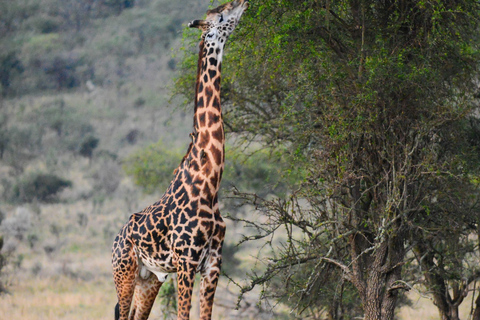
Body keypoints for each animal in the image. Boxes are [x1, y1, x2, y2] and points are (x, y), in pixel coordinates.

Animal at [111, 1, 249, 318]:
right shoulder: (186, 262)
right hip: (124, 272)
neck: (210, 181)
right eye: (220, 15)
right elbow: (183, 315)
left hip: (149, 279)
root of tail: (116, 239)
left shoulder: (213, 264)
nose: (241, 3)